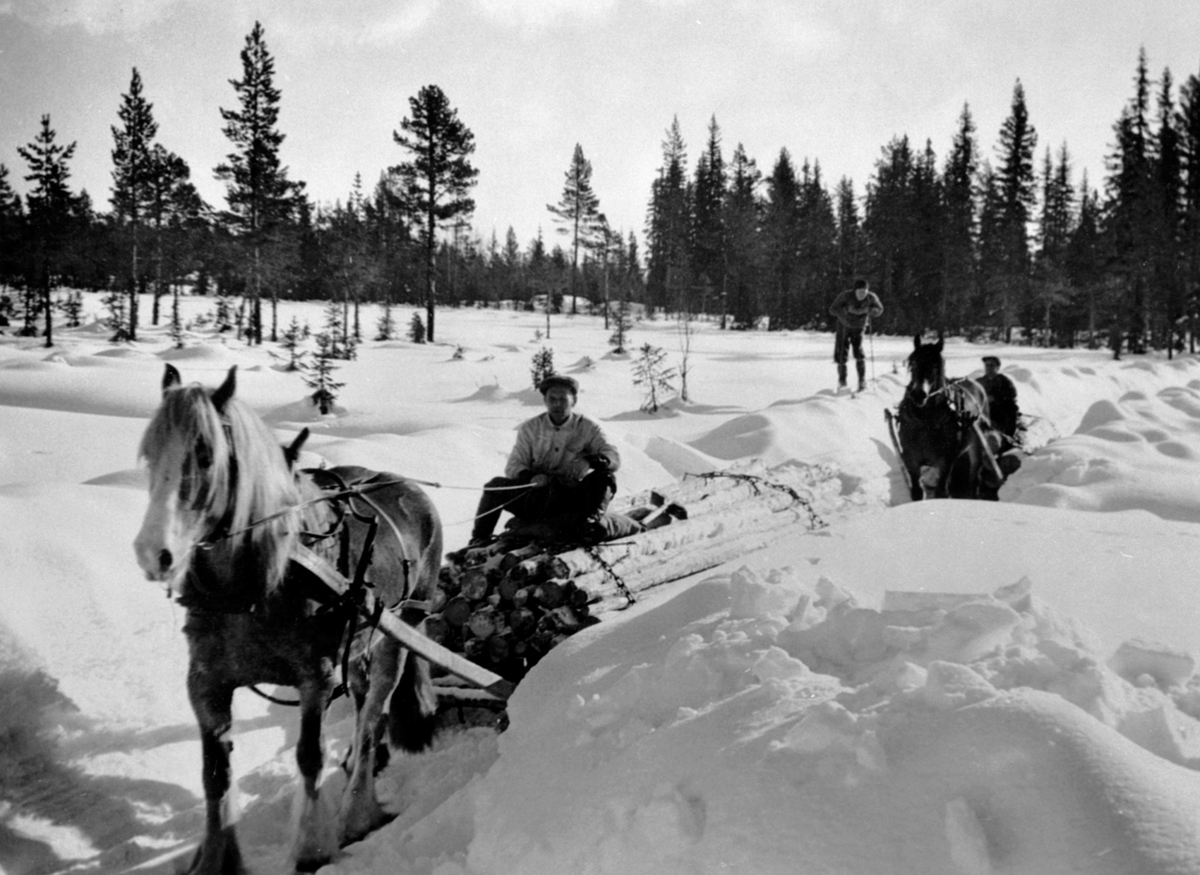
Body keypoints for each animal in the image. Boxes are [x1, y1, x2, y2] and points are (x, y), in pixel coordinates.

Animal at [136, 362, 444, 868]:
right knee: (364, 706)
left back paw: (357, 811)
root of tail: (411, 488)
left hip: (400, 634)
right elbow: (214, 774)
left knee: (373, 715)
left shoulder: (314, 677)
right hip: (360, 644)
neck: (252, 588)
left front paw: (312, 848)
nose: (153, 553)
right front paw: (217, 857)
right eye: (148, 454)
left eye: (205, 455)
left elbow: (309, 757)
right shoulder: (205, 683)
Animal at [883, 333, 1003, 501]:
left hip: (978, 445)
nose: (918, 394)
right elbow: (917, 492)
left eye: (935, 365)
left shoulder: (945, 461)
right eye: (913, 363)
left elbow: (940, 492)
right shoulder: (911, 460)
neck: (925, 421)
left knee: (974, 478)